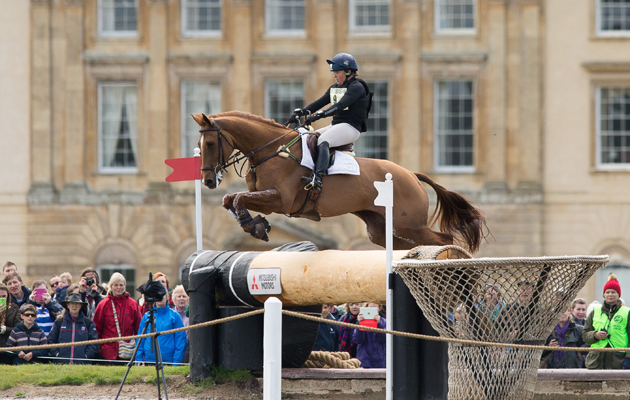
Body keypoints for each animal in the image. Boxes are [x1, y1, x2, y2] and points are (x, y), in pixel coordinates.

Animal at [194, 111, 488, 252]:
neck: (271, 150)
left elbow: (238, 199)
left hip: (410, 225)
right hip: (383, 230)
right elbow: (230, 200)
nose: (208, 180)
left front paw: (254, 226)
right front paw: (255, 225)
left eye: (210, 143)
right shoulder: (265, 197)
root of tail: (412, 176)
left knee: (442, 238)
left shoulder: (281, 199)